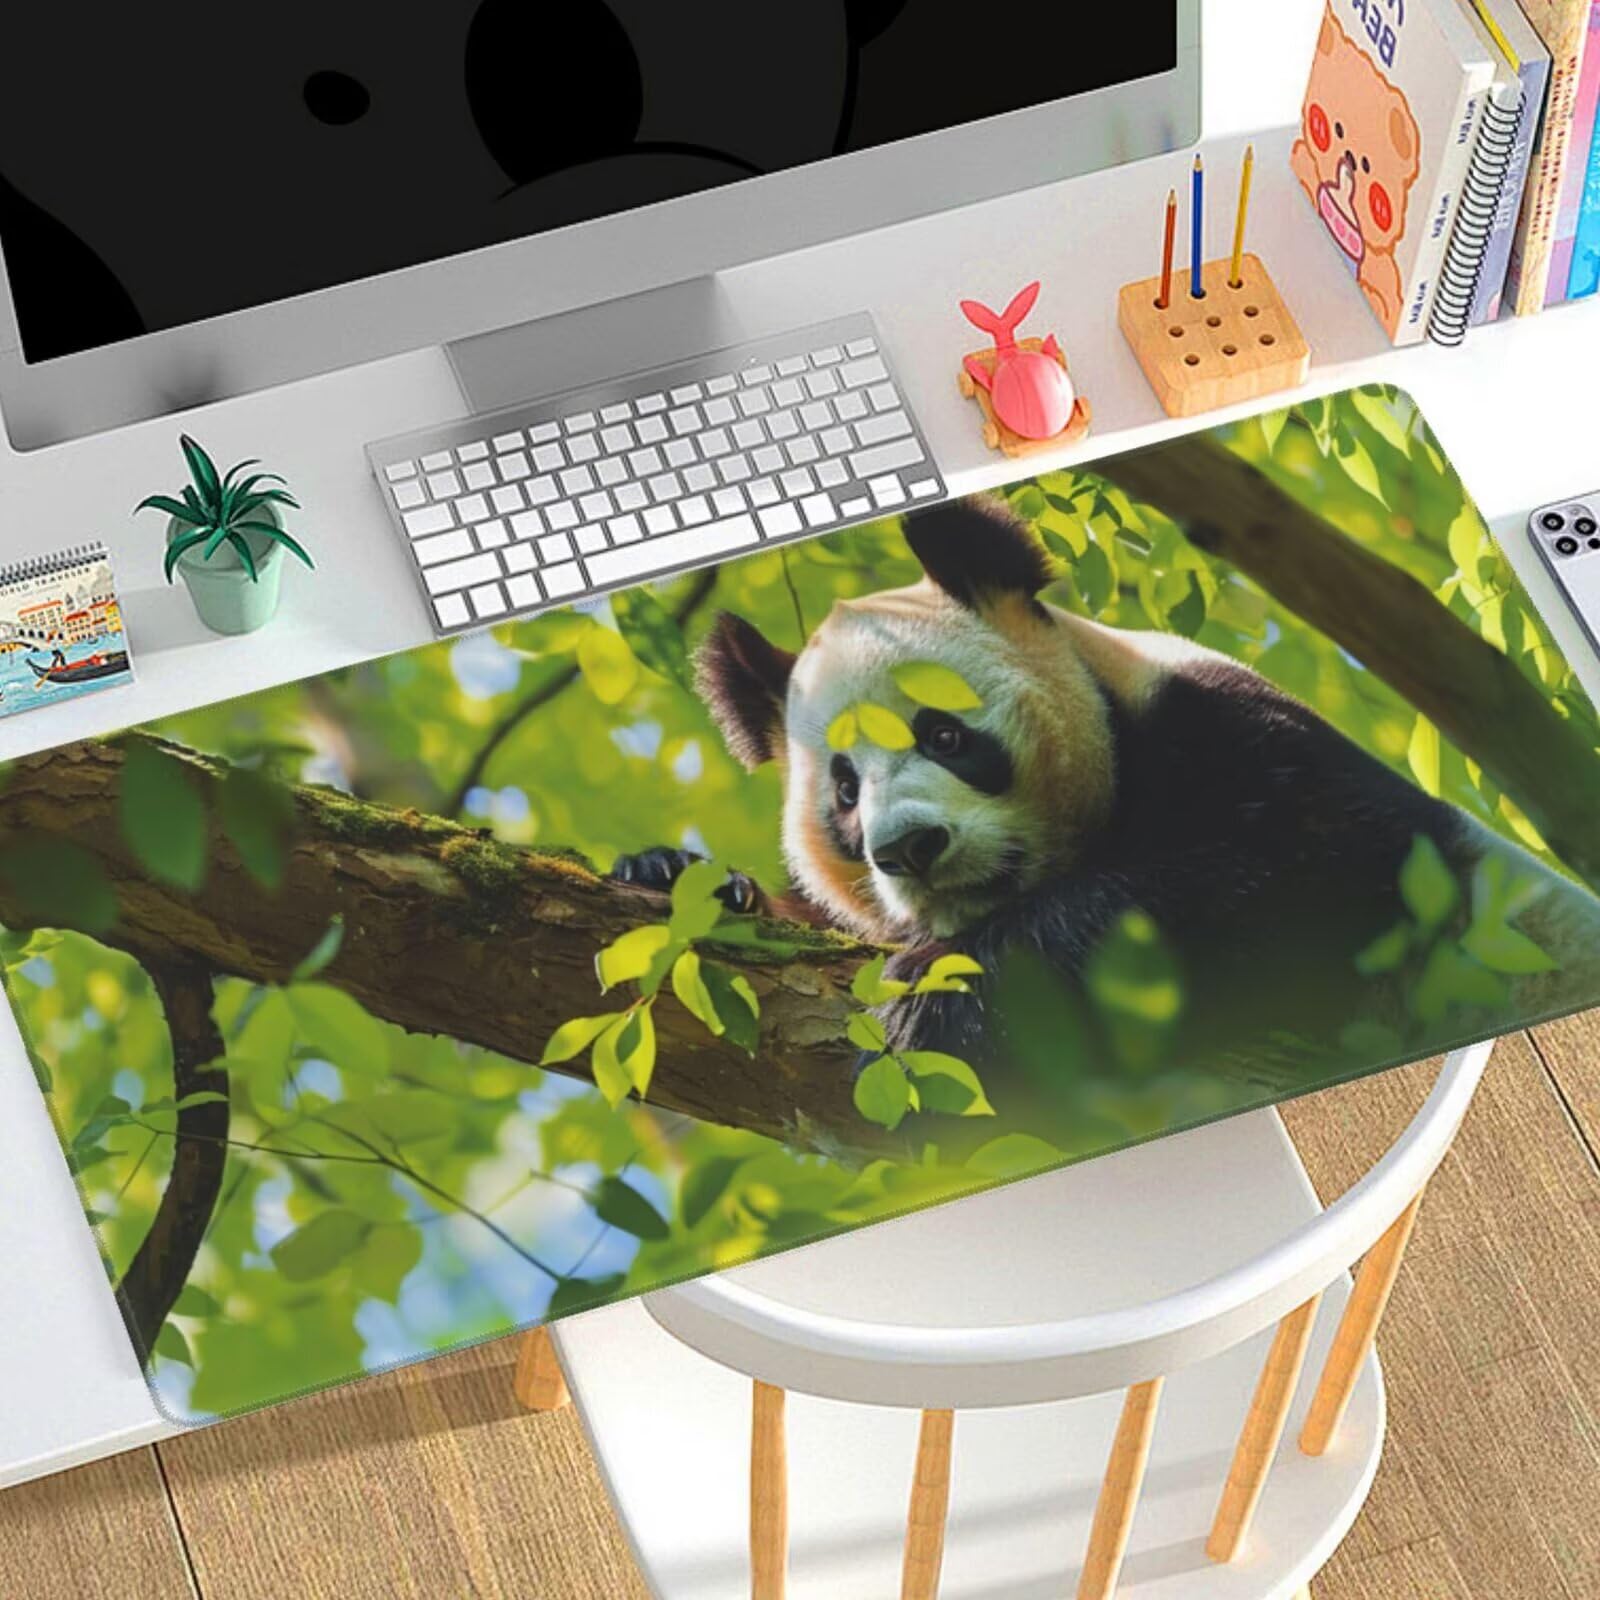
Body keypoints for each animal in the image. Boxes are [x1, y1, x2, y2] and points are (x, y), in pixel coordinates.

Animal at [615, 496, 1600, 1104]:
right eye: (846, 792)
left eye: (943, 735)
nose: (909, 850)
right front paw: (675, 875)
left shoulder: (1240, 734)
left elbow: (1301, 873)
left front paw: (934, 996)